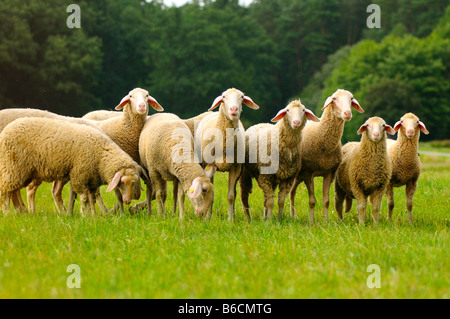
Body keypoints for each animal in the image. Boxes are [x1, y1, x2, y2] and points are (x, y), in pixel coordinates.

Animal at [0, 119, 143, 216]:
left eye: (134, 183)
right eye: (122, 182)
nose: (127, 201)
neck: (101, 155)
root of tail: (5, 131)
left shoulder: (91, 179)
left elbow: (92, 199)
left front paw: (93, 215)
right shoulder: (79, 176)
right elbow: (84, 198)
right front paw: (85, 215)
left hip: (21, 171)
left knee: (14, 191)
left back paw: (21, 211)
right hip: (13, 166)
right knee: (6, 191)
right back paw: (8, 213)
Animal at [194, 88, 260, 222]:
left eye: (242, 97)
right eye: (224, 97)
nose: (233, 109)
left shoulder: (236, 167)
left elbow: (231, 196)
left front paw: (231, 219)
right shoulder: (209, 165)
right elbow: (210, 193)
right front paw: (207, 218)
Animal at [288, 89, 366, 224]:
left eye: (351, 99)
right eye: (334, 99)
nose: (347, 113)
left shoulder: (329, 172)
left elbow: (326, 201)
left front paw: (325, 222)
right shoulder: (309, 173)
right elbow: (312, 201)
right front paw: (312, 222)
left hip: (299, 176)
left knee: (292, 192)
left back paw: (293, 216)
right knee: (291, 193)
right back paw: (292, 215)